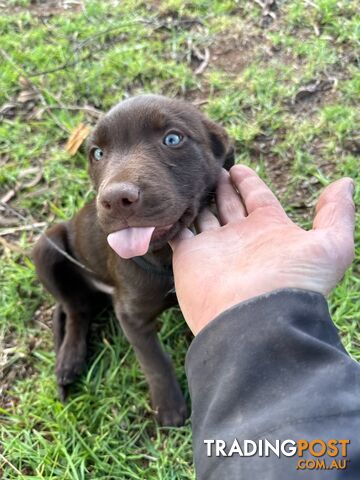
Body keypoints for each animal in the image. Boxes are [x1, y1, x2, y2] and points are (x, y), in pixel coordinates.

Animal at [31, 95, 233, 426]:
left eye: (173, 139)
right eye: (97, 153)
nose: (115, 200)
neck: (165, 259)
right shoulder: (131, 316)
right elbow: (153, 359)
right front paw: (169, 408)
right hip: (45, 247)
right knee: (75, 308)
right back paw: (69, 359)